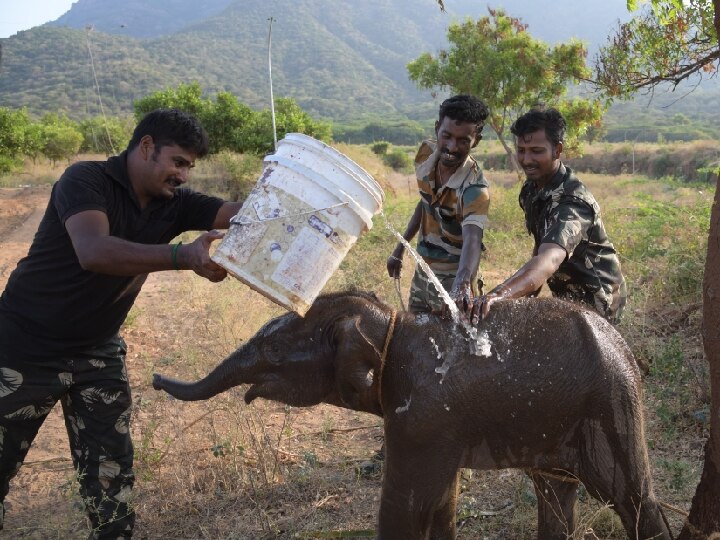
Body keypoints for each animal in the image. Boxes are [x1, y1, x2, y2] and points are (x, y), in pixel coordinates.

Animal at [155, 292, 672, 540]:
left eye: (275, 351)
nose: (157, 379)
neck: (390, 324)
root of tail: (623, 344)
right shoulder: (435, 426)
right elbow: (441, 503)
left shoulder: (421, 418)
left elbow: (406, 509)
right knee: (555, 492)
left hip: (611, 404)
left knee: (632, 497)